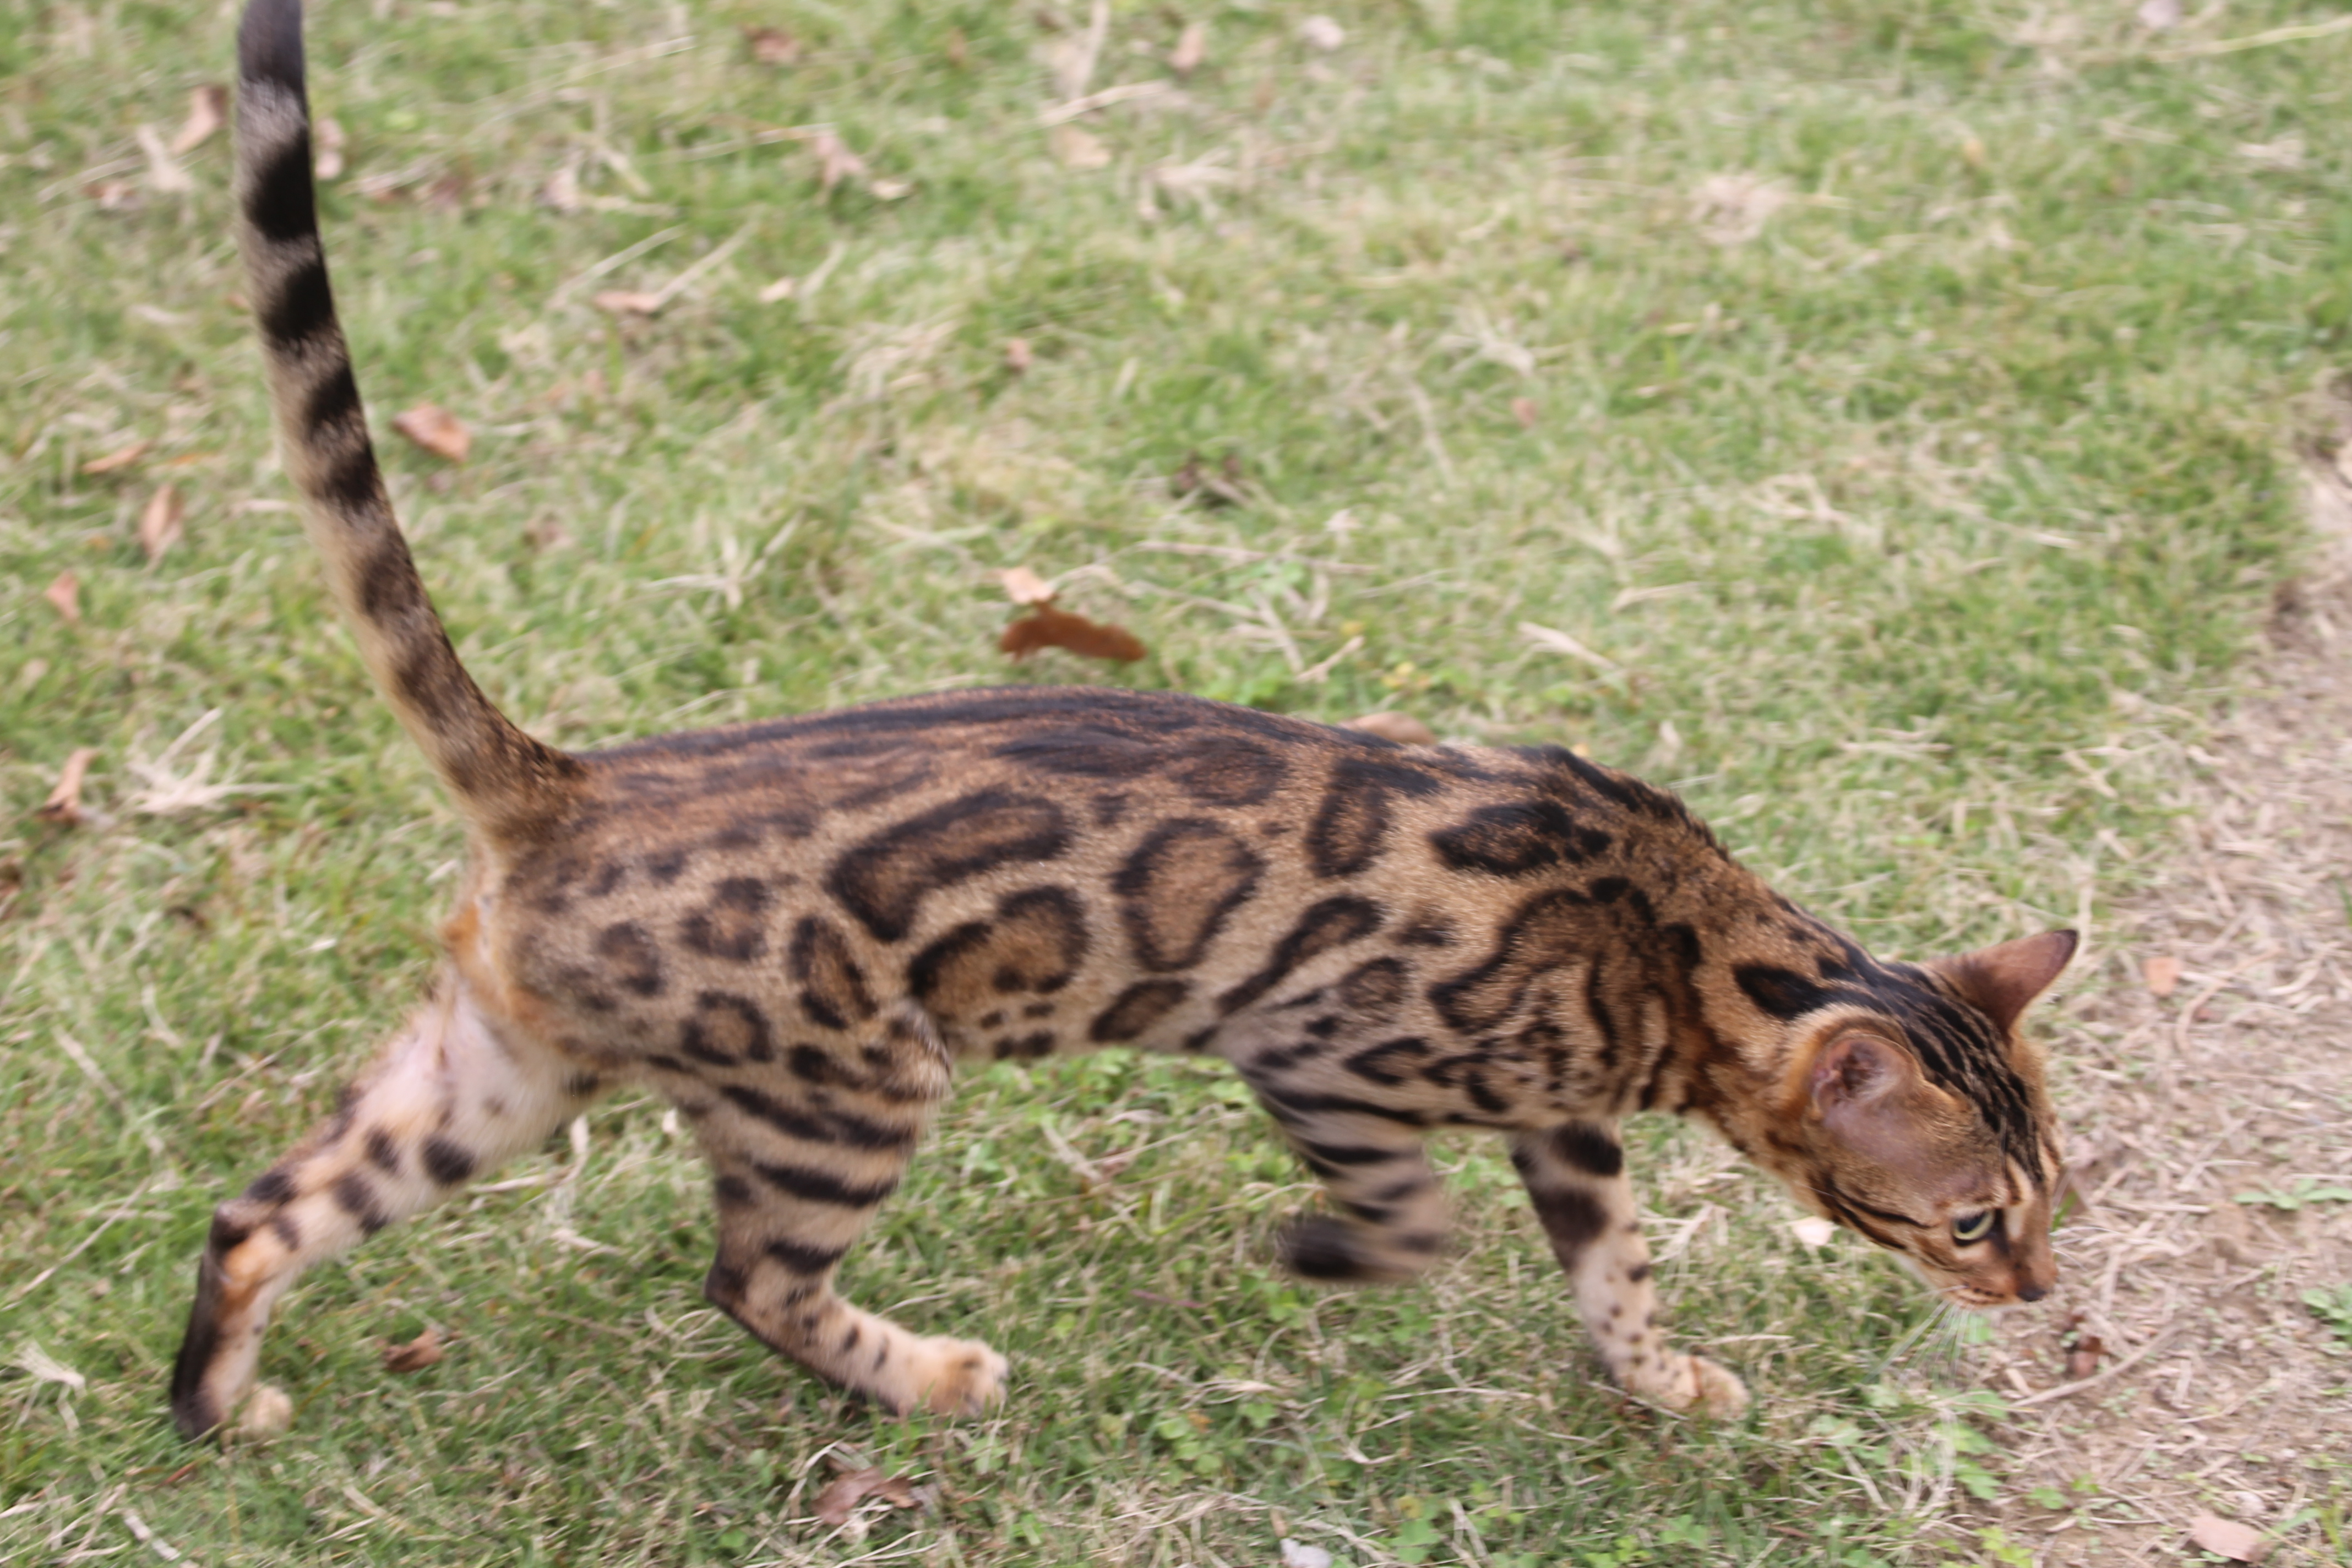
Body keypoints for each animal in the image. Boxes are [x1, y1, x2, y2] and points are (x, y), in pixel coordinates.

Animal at [170, 0, 2079, 1448]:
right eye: (1975, 1216)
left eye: (2052, 1190)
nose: (2041, 1288)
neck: (1671, 938)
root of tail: (565, 789)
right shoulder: (1319, 1052)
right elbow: (1415, 1226)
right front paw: (1318, 1256)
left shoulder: (1564, 1124)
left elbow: (1610, 1272)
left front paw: (1661, 1380)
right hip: (847, 1094)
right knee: (751, 1278)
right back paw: (929, 1379)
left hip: (493, 1077)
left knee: (262, 1212)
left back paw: (217, 1409)